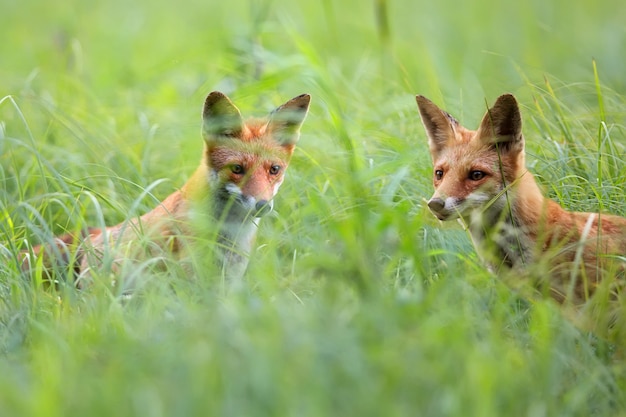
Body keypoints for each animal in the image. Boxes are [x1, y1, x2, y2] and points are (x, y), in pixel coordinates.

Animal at [21, 91, 310, 286]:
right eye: (237, 169)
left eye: (274, 170)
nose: (262, 205)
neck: (229, 233)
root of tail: (94, 234)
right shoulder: (191, 276)